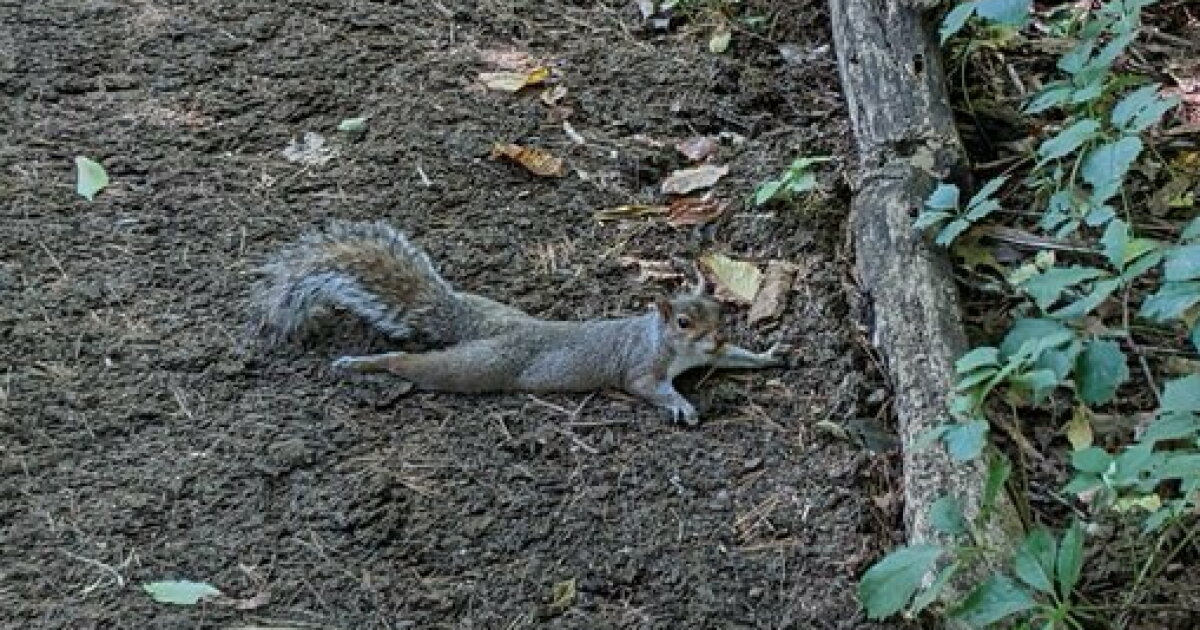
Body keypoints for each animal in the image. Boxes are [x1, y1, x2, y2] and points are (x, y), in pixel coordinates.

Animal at [252, 220, 789, 424]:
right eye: (681, 321)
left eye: (722, 311)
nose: (716, 337)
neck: (673, 349)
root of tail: (487, 329)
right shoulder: (642, 364)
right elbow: (645, 386)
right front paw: (680, 405)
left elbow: (738, 360)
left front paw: (767, 355)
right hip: (475, 366)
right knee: (414, 364)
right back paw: (367, 364)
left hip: (491, 314)